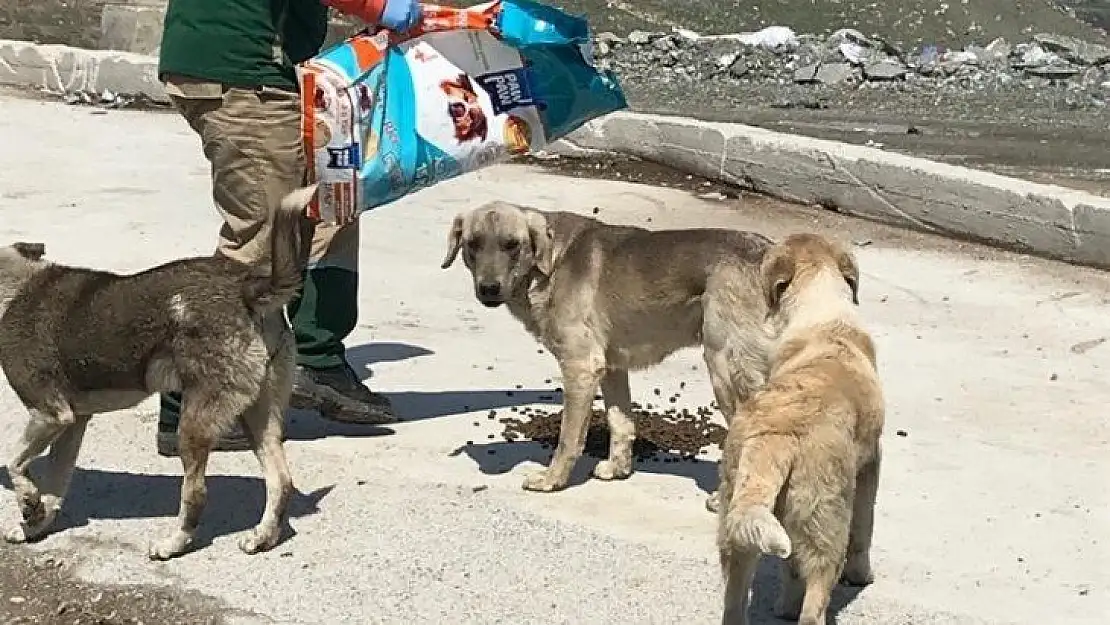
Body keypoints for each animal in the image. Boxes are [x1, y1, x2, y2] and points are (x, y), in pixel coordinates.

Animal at [0, 184, 319, 557]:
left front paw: (28, 504)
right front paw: (35, 524)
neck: (12, 289)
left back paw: (173, 543)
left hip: (194, 423)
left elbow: (15, 463)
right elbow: (54, 486)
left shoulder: (50, 414)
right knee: (281, 481)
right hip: (259, 417)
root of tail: (247, 287)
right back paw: (262, 536)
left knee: (196, 494)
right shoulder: (72, 423)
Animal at [719, 233, 883, 625]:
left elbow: (791, 570)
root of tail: (774, 437)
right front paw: (861, 575)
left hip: (738, 519)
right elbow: (865, 528)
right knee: (816, 599)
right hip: (826, 520)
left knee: (735, 596)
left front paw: (784, 607)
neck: (821, 311)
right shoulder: (872, 462)